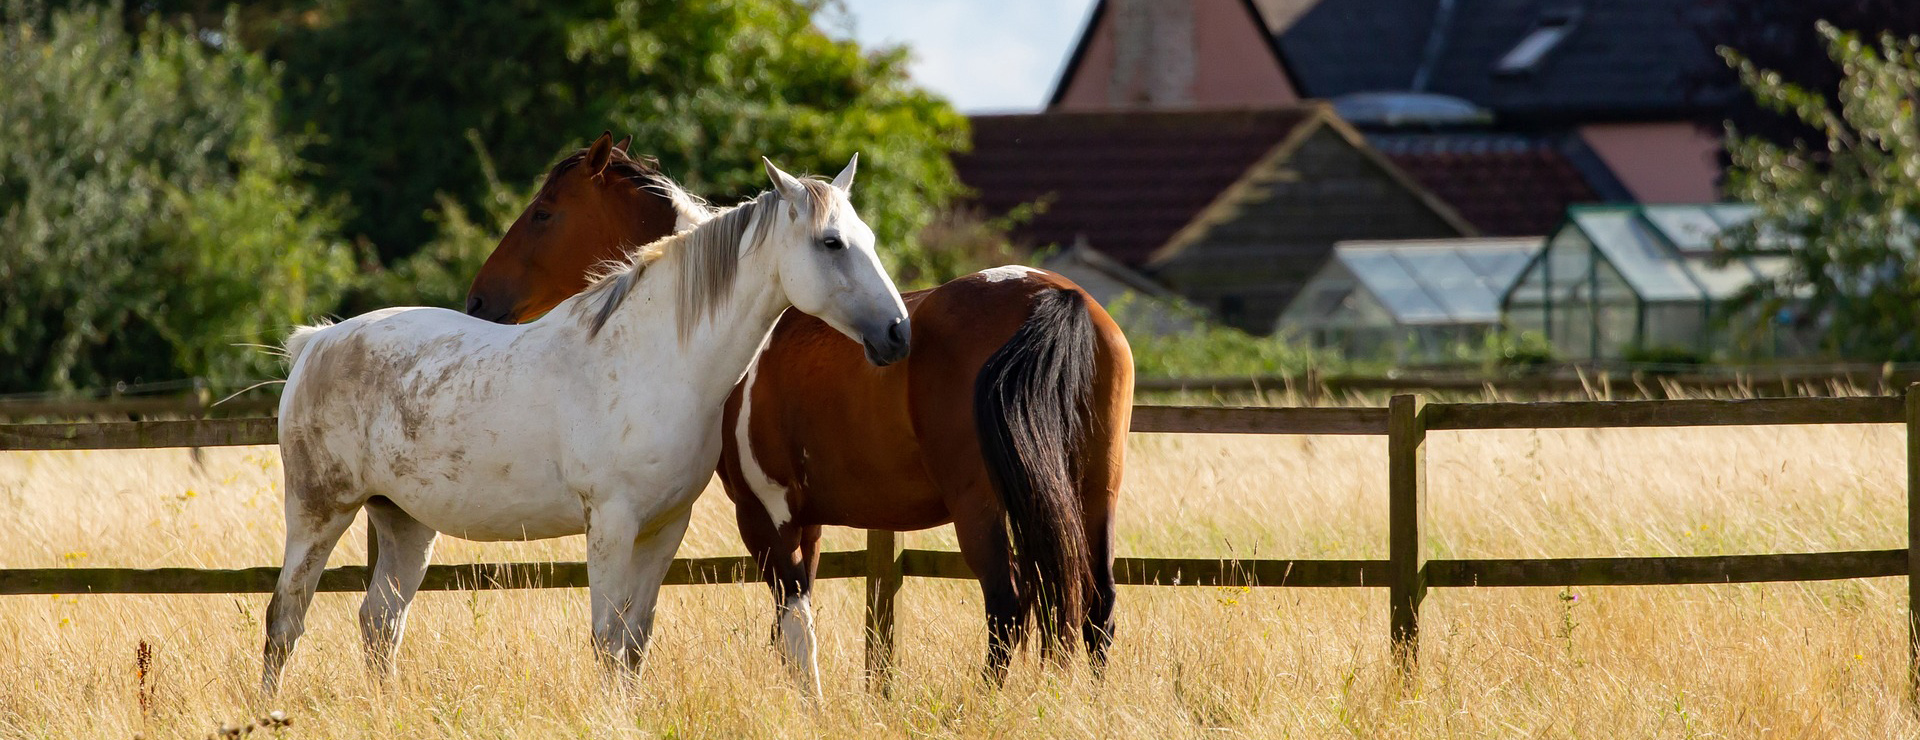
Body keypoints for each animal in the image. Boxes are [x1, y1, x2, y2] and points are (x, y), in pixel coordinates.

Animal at [263, 147, 908, 695]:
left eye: (870, 240)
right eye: (831, 242)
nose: (897, 333)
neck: (657, 358)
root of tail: (316, 343)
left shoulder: (664, 527)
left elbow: (635, 644)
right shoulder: (612, 523)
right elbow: (606, 641)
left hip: (404, 524)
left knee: (380, 623)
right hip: (319, 512)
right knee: (285, 619)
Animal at [465, 133, 1134, 690]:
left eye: (544, 212)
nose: (478, 299)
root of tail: (1054, 295)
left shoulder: (764, 515)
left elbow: (793, 625)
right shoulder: (805, 521)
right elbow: (791, 629)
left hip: (982, 505)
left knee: (1007, 606)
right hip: (1094, 493)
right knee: (1096, 606)